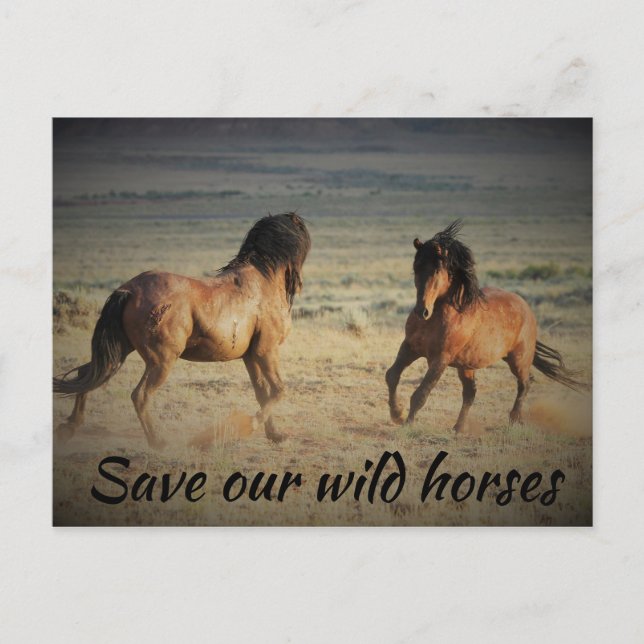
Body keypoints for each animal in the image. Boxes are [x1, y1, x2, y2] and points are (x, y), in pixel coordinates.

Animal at [54, 212, 311, 449]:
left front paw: (275, 435)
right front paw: (245, 427)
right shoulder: (266, 351)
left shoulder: (250, 356)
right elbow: (278, 391)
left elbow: (262, 393)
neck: (262, 281)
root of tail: (128, 290)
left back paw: (69, 428)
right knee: (139, 395)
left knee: (87, 374)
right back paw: (158, 442)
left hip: (121, 349)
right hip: (161, 361)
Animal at [385, 220, 587, 432]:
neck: (439, 316)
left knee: (525, 383)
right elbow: (392, 376)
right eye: (416, 267)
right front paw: (397, 414)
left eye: (437, 270)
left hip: (518, 360)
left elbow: (421, 393)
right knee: (470, 393)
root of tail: (526, 308)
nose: (421, 311)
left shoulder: (440, 359)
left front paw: (406, 424)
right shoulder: (410, 348)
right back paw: (458, 428)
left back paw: (514, 420)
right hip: (466, 365)